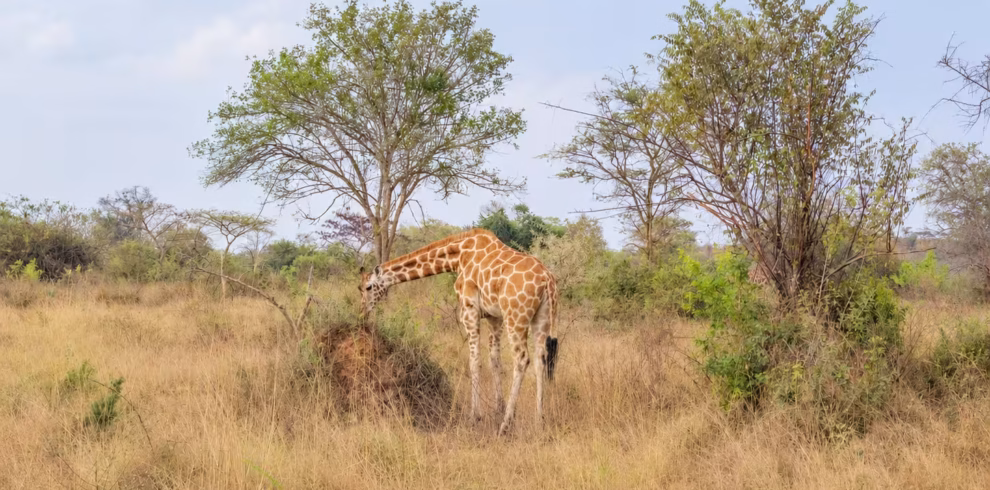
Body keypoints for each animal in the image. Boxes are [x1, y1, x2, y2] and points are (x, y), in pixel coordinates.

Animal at [359, 228, 560, 435]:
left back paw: (506, 425)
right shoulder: (494, 316)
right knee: (540, 359)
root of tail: (546, 280)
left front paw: (475, 416)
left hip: (516, 317)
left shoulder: (470, 310)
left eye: (367, 287)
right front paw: (498, 409)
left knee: (522, 358)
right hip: (542, 318)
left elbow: (474, 361)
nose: (362, 312)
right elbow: (494, 360)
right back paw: (539, 420)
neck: (457, 257)